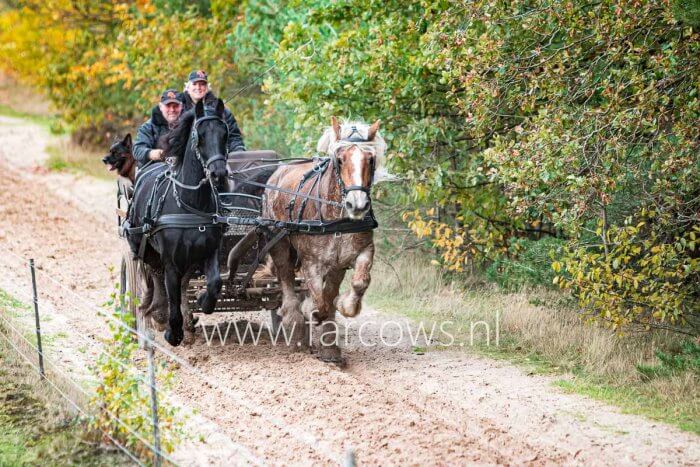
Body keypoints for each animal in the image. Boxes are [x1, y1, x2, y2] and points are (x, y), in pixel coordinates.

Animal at [126, 99, 230, 348]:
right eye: (200, 136)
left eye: (225, 134)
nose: (219, 173)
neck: (191, 204)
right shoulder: (171, 260)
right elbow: (170, 291)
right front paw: (172, 331)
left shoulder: (210, 251)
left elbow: (214, 283)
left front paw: (203, 301)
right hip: (143, 248)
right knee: (156, 277)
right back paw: (156, 315)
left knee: (182, 283)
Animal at [262, 118, 386, 366]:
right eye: (340, 159)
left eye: (371, 159)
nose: (357, 205)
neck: (336, 219)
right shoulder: (312, 263)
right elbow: (318, 301)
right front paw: (311, 311)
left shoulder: (361, 252)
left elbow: (358, 284)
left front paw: (345, 306)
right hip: (279, 245)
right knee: (287, 281)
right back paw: (294, 328)